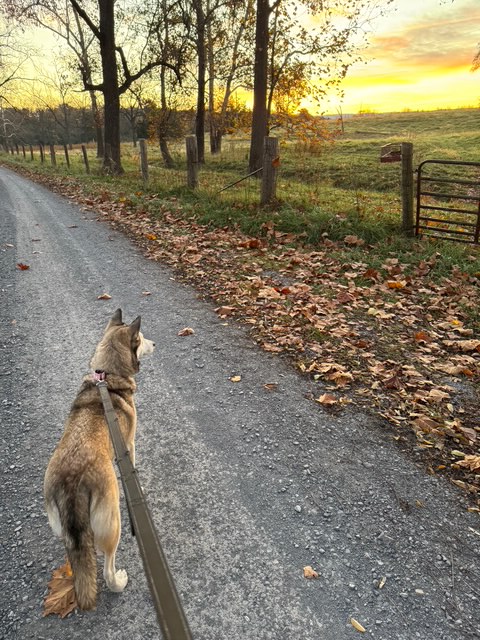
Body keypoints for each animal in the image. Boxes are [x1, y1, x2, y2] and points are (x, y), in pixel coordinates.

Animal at [44, 309, 155, 609]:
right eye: (142, 338)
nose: (155, 344)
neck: (108, 376)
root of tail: (72, 484)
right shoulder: (130, 443)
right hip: (113, 523)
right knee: (106, 567)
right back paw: (118, 582)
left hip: (61, 526)